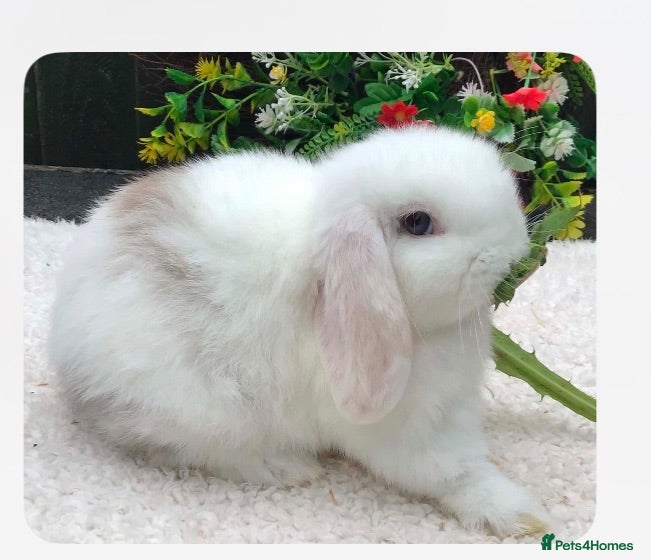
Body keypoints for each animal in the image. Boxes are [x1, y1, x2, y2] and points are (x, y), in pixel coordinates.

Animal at [48, 125, 550, 537]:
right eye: (418, 222)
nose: (515, 250)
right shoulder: (411, 430)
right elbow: (453, 475)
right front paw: (520, 514)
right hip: (196, 409)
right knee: (188, 450)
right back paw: (286, 468)